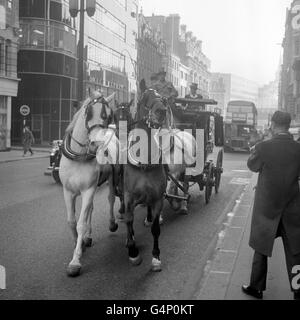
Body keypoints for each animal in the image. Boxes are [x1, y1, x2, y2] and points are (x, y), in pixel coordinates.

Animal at [59, 90, 119, 278]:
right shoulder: (68, 191)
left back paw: (111, 223)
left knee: (110, 199)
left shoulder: (88, 190)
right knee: (90, 209)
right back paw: (88, 237)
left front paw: (75, 261)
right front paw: (80, 243)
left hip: (111, 180)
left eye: (109, 115)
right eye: (88, 112)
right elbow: (71, 221)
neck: (79, 156)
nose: (96, 144)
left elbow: (80, 223)